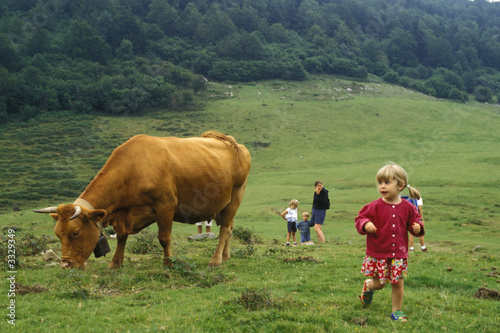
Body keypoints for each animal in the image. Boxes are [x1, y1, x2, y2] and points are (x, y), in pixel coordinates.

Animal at [33, 131, 252, 268]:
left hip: (235, 197)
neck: (132, 169)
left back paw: (215, 260)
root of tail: (233, 142)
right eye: (58, 234)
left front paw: (168, 263)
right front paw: (115, 263)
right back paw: (226, 256)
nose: (65, 264)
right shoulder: (124, 214)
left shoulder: (165, 206)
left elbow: (164, 238)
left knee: (224, 230)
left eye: (76, 232)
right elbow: (122, 236)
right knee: (229, 228)